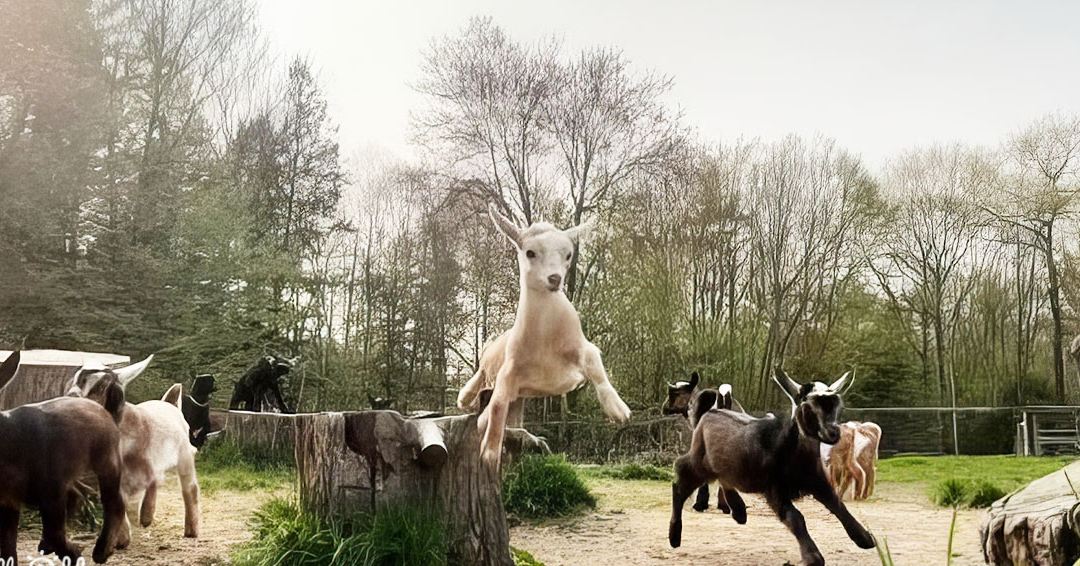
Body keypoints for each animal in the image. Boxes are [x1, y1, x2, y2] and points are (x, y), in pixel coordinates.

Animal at [0, 351, 128, 564]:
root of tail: (99, 407)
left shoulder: (52, 489)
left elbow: (55, 532)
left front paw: (73, 553)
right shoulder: (8, 501)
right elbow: (8, 550)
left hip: (107, 460)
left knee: (114, 502)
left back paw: (102, 550)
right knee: (80, 496)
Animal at [68, 356, 200, 542]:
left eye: (101, 386)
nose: (70, 400)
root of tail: (169, 403)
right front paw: (122, 538)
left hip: (184, 455)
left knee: (190, 488)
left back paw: (189, 529)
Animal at [458, 204, 631, 468]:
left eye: (568, 255)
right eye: (530, 252)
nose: (555, 279)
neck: (545, 338)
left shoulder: (584, 348)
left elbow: (596, 367)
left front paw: (618, 409)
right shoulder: (509, 371)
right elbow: (497, 405)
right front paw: (489, 452)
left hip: (517, 392)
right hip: (491, 364)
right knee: (480, 378)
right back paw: (464, 397)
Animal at [669, 368, 875, 566]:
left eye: (837, 406)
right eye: (807, 405)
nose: (833, 432)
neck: (787, 448)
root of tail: (712, 411)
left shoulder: (817, 481)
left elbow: (838, 505)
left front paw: (864, 538)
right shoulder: (774, 489)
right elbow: (795, 517)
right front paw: (813, 557)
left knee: (724, 478)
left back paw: (739, 511)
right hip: (699, 461)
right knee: (680, 479)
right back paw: (674, 536)